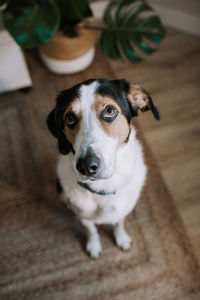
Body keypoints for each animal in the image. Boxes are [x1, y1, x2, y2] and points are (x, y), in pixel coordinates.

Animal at [46, 79, 159, 258]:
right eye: (69, 118)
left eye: (110, 111)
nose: (86, 166)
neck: (103, 189)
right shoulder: (84, 218)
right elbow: (91, 230)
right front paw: (94, 246)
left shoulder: (122, 210)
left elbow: (119, 223)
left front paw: (122, 238)